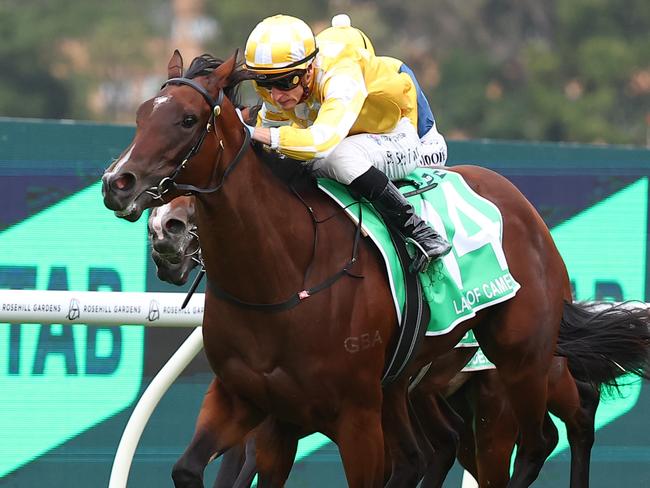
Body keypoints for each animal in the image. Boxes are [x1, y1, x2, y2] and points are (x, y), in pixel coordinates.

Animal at [101, 51, 648, 486]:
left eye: (188, 119)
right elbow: (189, 468)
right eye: (141, 114)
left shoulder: (354, 417)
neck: (283, 277)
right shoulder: (250, 402)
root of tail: (525, 209)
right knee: (439, 451)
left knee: (547, 435)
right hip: (413, 389)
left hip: (519, 360)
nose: (117, 184)